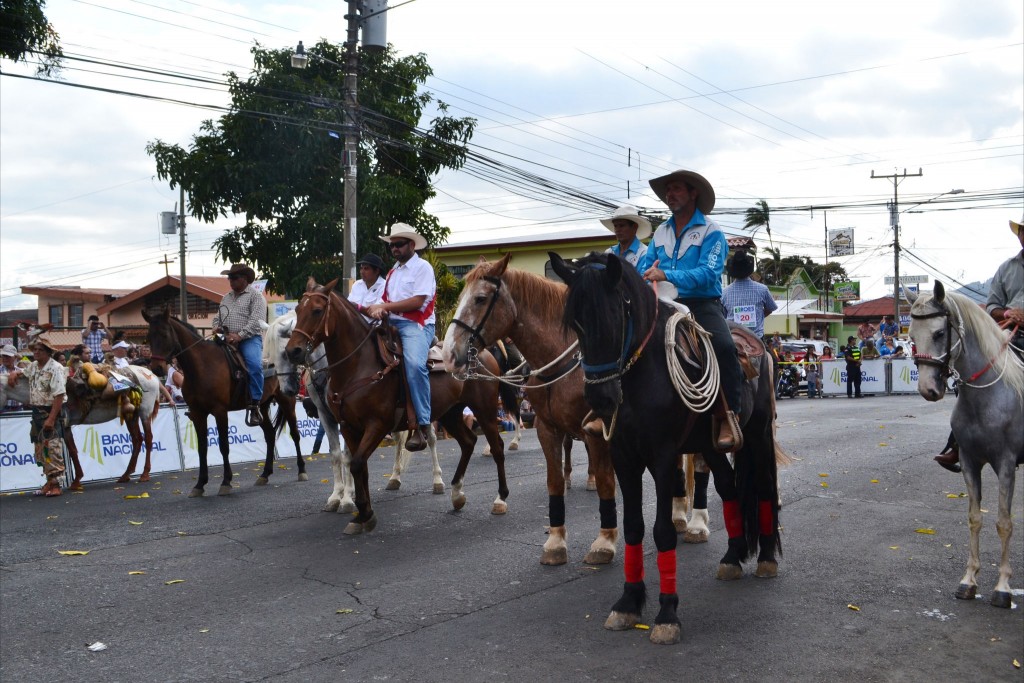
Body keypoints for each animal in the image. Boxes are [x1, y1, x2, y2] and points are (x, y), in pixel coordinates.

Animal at [142, 309, 305, 497]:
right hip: (262, 407)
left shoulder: (220, 411)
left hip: (287, 400)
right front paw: (199, 484)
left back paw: (302, 471)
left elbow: (224, 446)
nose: (156, 368)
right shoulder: (198, 413)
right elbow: (202, 448)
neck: (202, 366)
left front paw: (226, 482)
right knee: (270, 435)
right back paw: (264, 474)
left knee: (295, 434)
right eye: (148, 336)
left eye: (164, 334)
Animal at [284, 276, 512, 532]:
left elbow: (357, 464)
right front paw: (361, 514)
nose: (293, 351)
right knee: (468, 442)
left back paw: (500, 499)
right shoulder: (349, 427)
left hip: (485, 410)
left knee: (496, 447)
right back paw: (456, 494)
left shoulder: (377, 424)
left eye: (317, 310)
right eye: (297, 309)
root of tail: (484, 353)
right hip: (450, 413)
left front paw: (362, 511)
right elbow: (358, 465)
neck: (358, 366)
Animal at [438, 253, 614, 565]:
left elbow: (606, 479)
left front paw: (604, 542)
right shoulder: (548, 427)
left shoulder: (596, 431)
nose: (448, 354)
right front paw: (555, 543)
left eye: (480, 299)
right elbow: (554, 481)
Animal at [552, 252, 782, 647]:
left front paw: (667, 613)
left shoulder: (661, 457)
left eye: (615, 317)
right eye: (576, 324)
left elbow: (662, 531)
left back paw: (766, 558)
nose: (600, 400)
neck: (641, 374)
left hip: (757, 434)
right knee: (729, 487)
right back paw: (732, 556)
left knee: (764, 487)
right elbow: (632, 527)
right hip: (711, 444)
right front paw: (628, 603)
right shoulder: (623, 457)